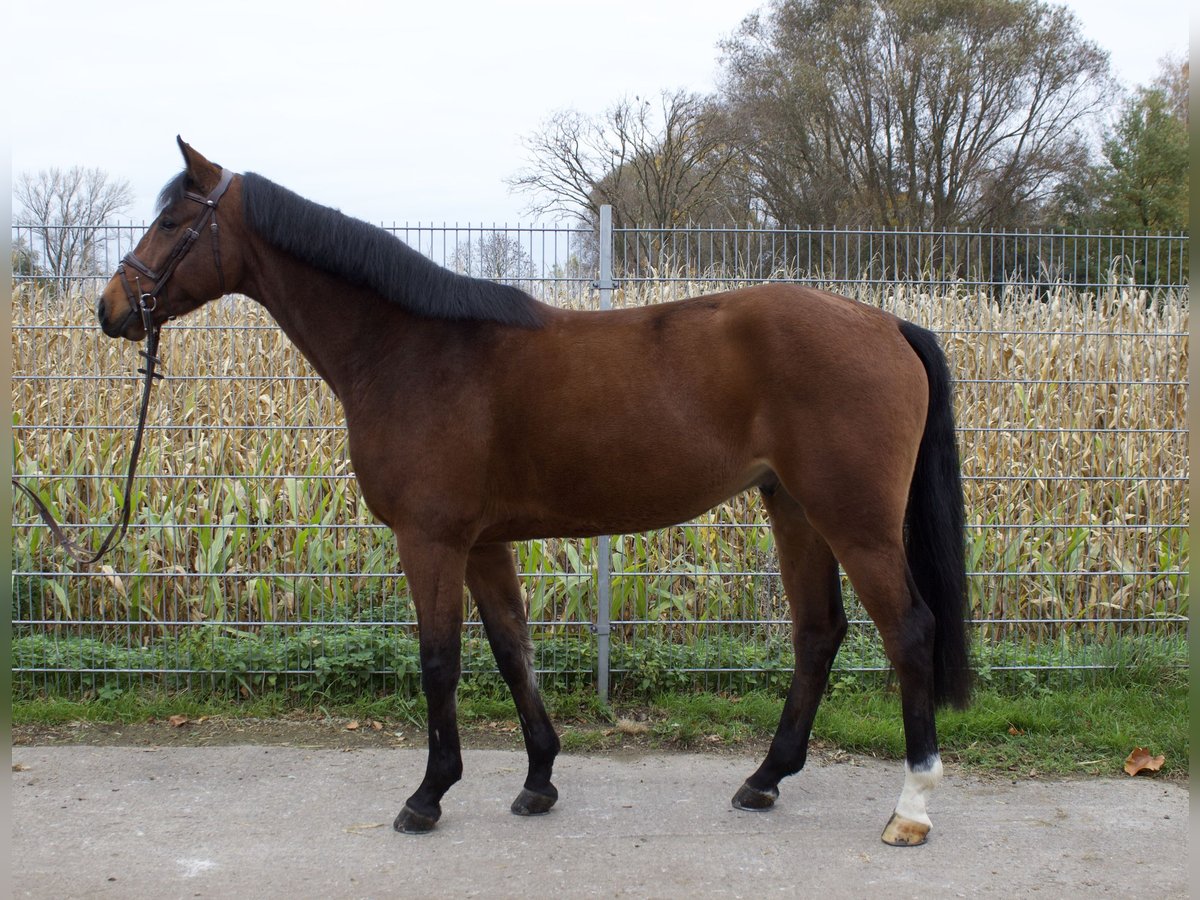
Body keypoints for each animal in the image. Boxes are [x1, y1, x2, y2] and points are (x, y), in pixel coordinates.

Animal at [98, 139, 969, 844]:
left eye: (173, 222)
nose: (111, 309)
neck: (412, 350)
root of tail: (887, 325)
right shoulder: (483, 544)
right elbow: (513, 651)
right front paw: (539, 779)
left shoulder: (431, 539)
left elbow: (440, 661)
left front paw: (428, 796)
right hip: (794, 509)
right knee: (819, 633)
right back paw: (763, 780)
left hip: (855, 521)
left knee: (909, 631)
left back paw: (912, 806)